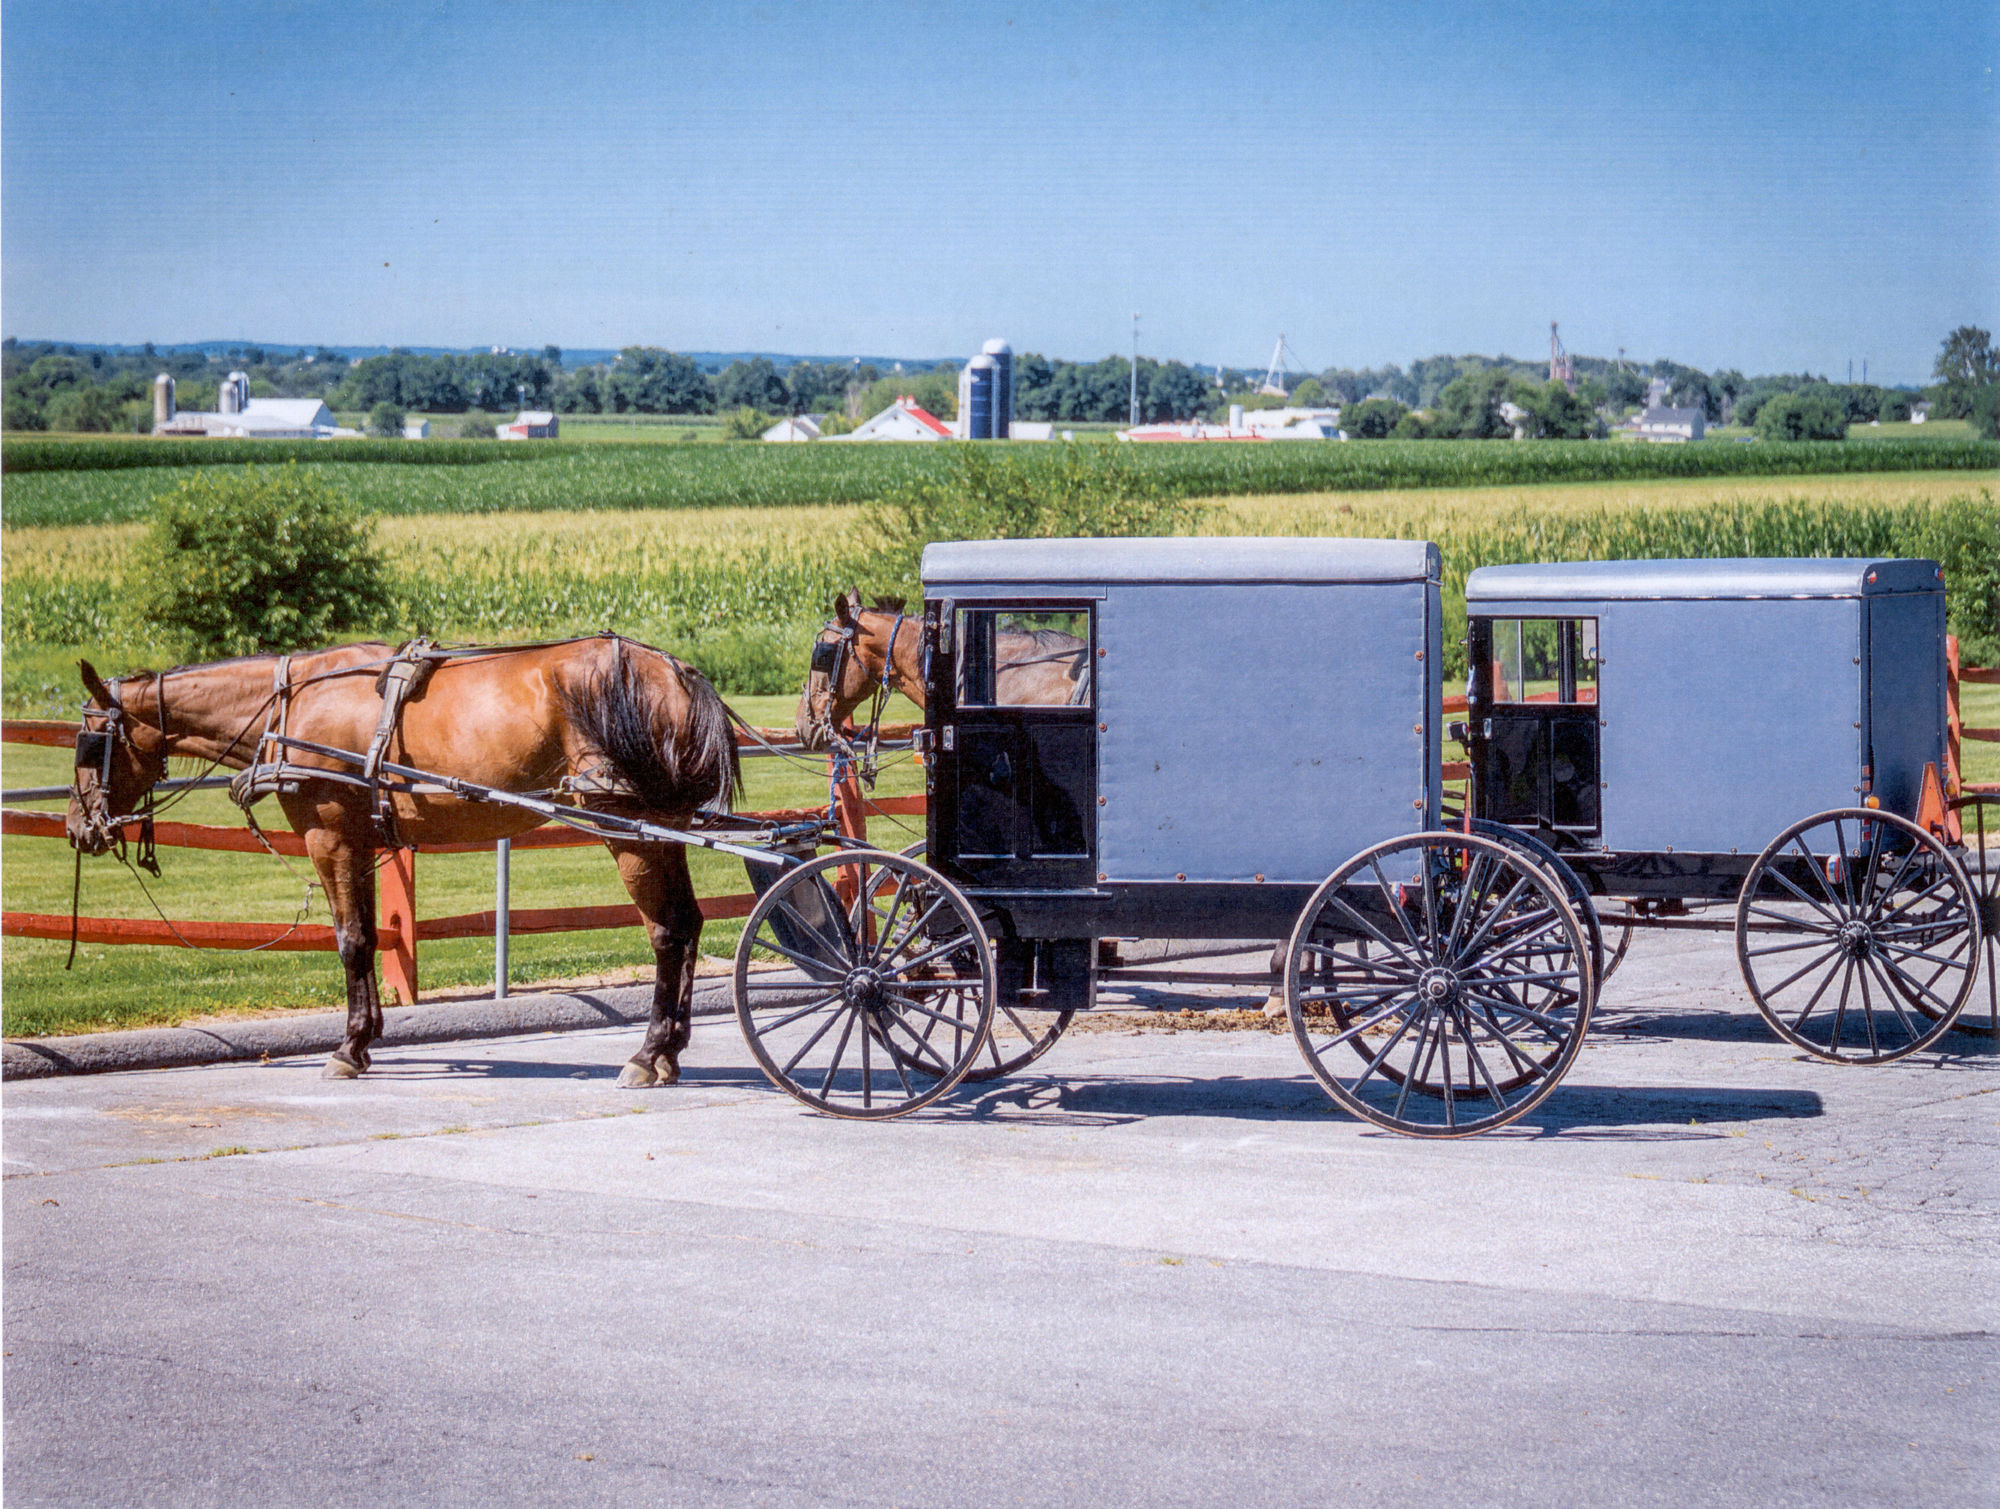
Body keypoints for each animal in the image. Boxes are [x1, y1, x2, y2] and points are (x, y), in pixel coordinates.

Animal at [70, 632, 748, 1080]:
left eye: (89, 741)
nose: (79, 826)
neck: (291, 707)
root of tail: (679, 673)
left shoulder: (331, 835)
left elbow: (349, 938)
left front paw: (348, 1048)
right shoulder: (365, 842)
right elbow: (370, 935)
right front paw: (367, 1036)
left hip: (630, 831)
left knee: (666, 933)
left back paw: (648, 1052)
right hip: (664, 832)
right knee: (689, 925)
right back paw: (671, 1050)